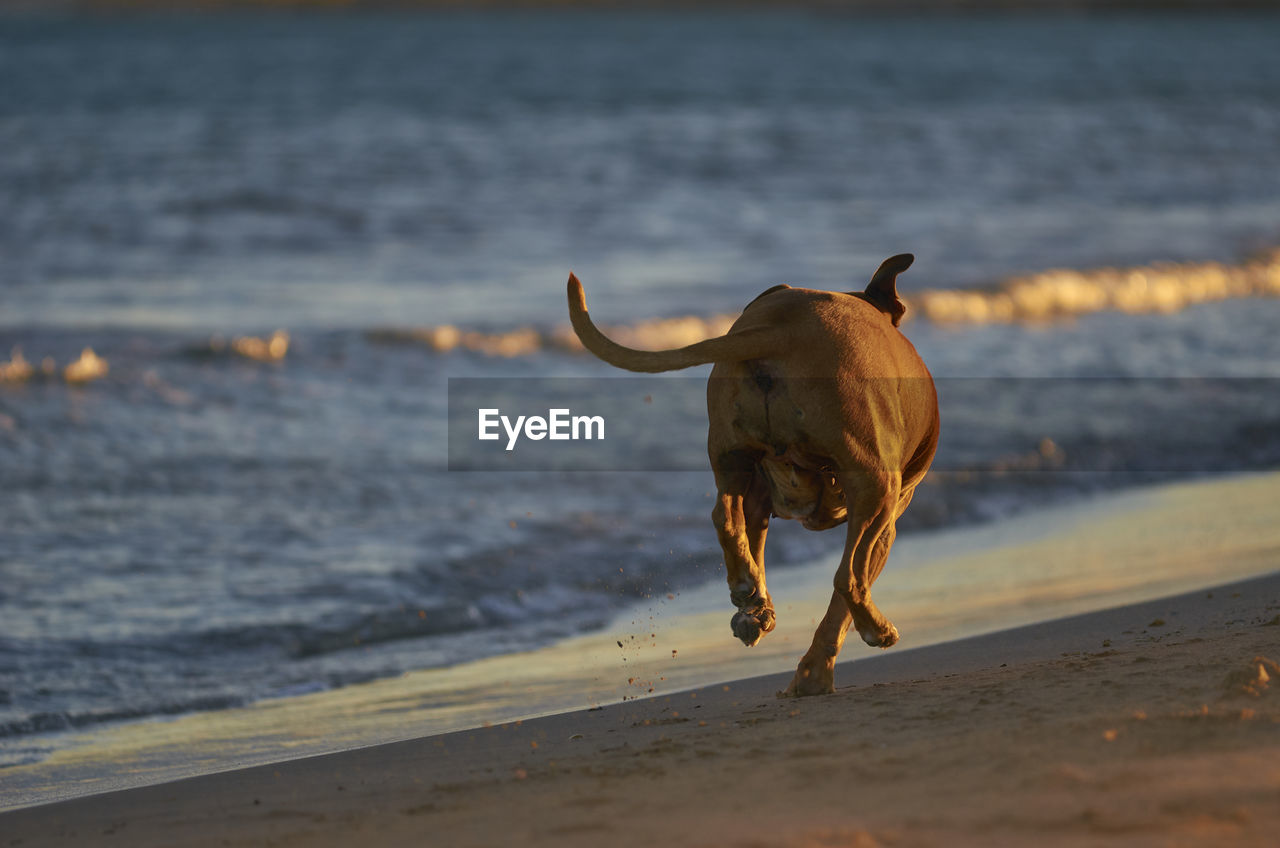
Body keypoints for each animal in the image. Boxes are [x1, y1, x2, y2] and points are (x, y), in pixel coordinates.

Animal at [570, 253, 942, 696]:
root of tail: (785, 331)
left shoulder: (761, 496)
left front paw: (757, 614)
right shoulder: (889, 520)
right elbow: (841, 603)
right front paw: (814, 673)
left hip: (731, 453)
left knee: (726, 519)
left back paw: (748, 593)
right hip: (877, 487)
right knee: (848, 579)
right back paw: (875, 627)